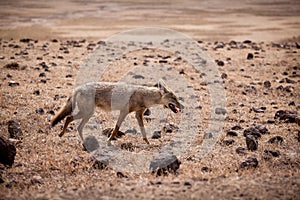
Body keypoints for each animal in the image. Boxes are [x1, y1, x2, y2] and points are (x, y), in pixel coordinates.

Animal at [51, 80, 183, 145]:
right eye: (174, 98)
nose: (183, 106)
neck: (145, 96)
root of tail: (78, 88)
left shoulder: (138, 115)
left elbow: (143, 131)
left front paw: (148, 143)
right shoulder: (123, 112)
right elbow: (116, 128)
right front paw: (109, 140)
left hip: (88, 114)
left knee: (77, 126)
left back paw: (84, 142)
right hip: (86, 113)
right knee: (68, 118)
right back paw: (61, 134)